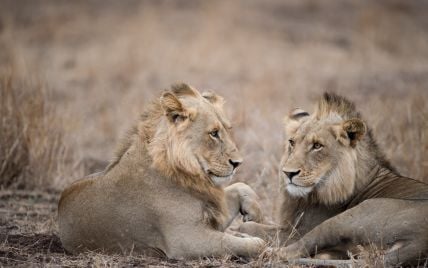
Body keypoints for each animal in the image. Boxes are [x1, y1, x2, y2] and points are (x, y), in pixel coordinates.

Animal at [57, 84, 266, 260]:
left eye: (228, 129)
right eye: (214, 133)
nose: (238, 163)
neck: (190, 174)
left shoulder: (213, 214)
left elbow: (241, 186)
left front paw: (254, 216)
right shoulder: (186, 239)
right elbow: (248, 245)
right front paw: (256, 239)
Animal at [239, 92, 428, 266]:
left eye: (317, 146)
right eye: (292, 142)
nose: (288, 173)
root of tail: (420, 243)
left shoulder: (297, 230)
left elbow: (255, 227)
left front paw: (241, 227)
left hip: (346, 218)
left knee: (291, 250)